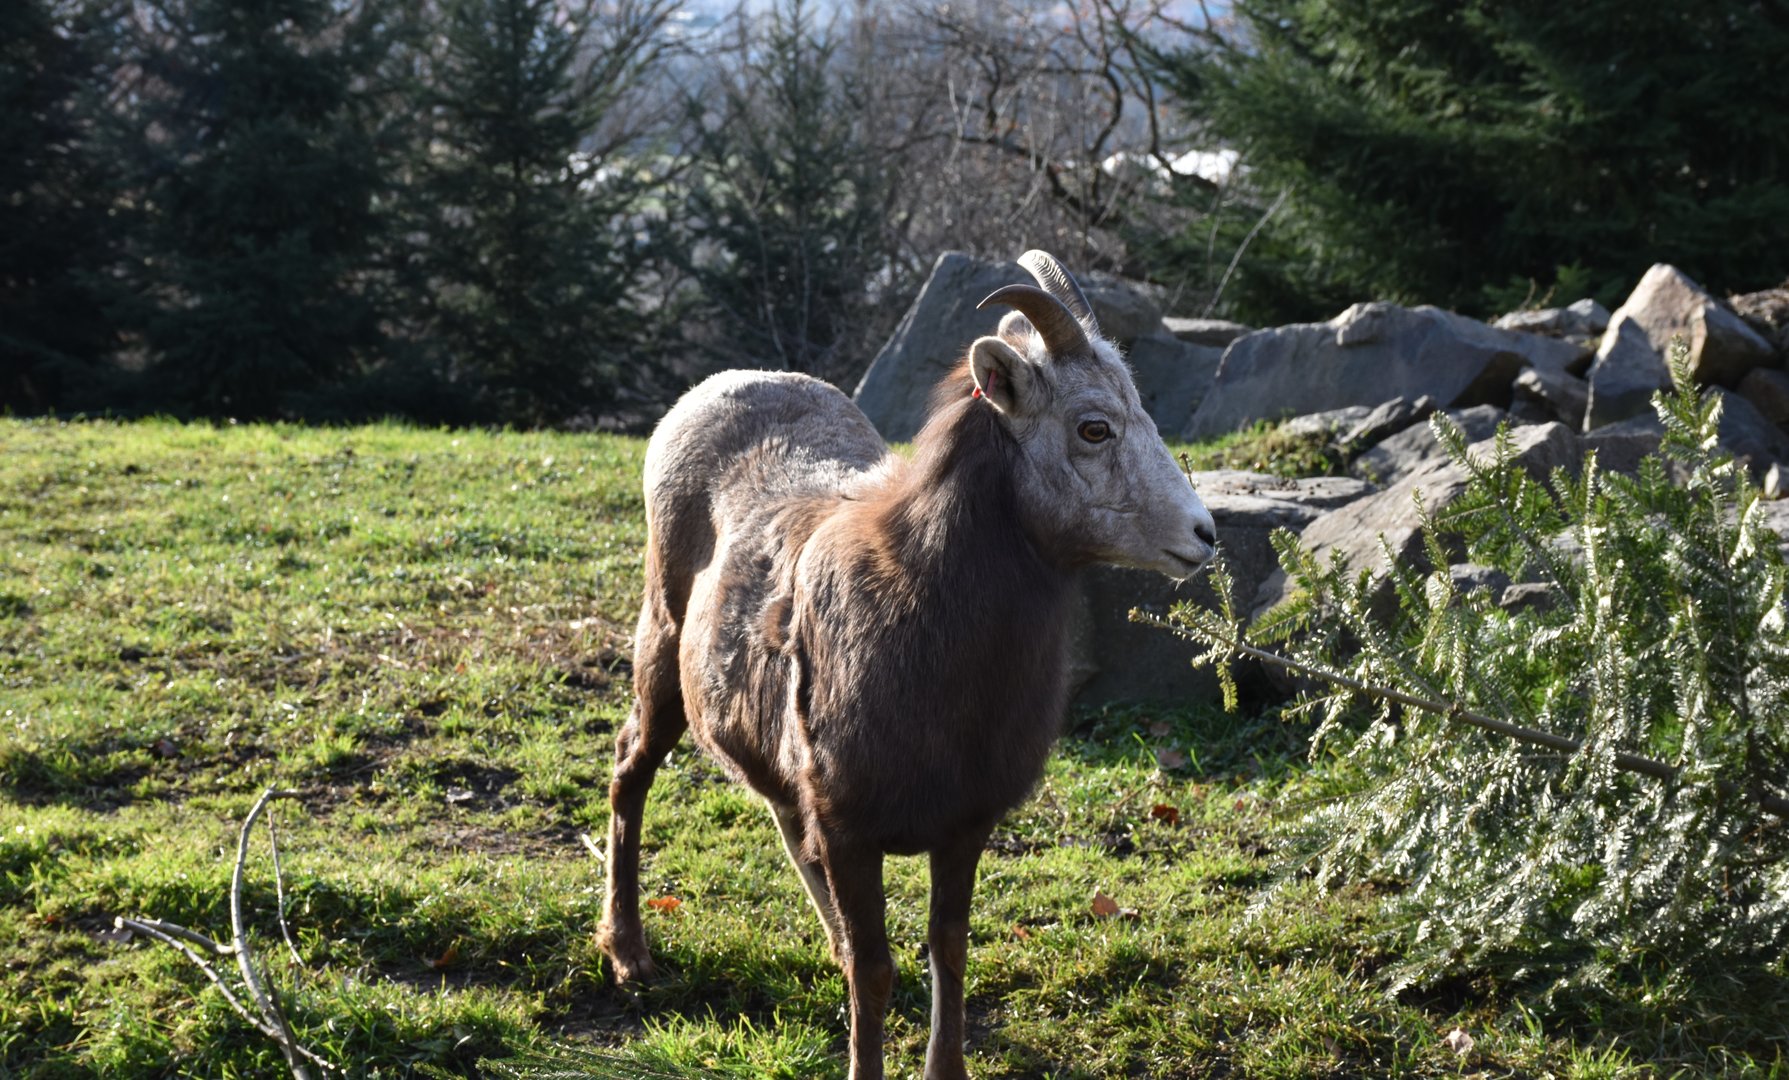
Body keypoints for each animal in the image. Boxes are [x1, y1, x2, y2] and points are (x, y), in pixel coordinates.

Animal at [597, 250, 1216, 1080]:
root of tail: (709, 391)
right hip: (660, 649)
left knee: (778, 814)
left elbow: (944, 952)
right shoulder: (851, 829)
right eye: (1094, 427)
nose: (1202, 534)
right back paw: (629, 955)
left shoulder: (962, 826)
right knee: (630, 770)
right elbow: (875, 971)